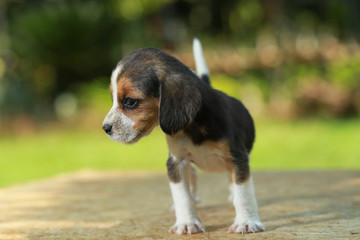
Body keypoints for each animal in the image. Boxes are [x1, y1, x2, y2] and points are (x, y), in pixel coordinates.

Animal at [101, 39, 264, 234]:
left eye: (130, 101)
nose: (105, 128)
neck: (193, 126)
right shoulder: (176, 162)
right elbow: (183, 196)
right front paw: (187, 222)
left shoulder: (237, 158)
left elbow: (243, 193)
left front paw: (246, 222)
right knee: (192, 179)